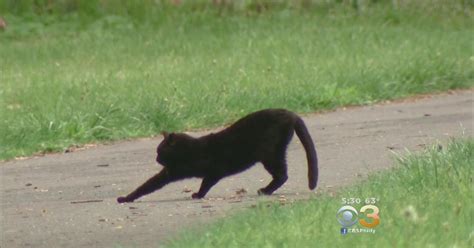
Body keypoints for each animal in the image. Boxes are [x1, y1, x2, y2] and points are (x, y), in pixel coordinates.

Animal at [118, 109, 318, 203]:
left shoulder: (212, 171)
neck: (190, 150)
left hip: (270, 154)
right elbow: (148, 185)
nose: (156, 159)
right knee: (282, 174)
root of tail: (291, 113)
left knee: (282, 174)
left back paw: (265, 191)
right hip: (273, 154)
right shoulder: (171, 172)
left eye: (159, 151)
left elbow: (148, 185)